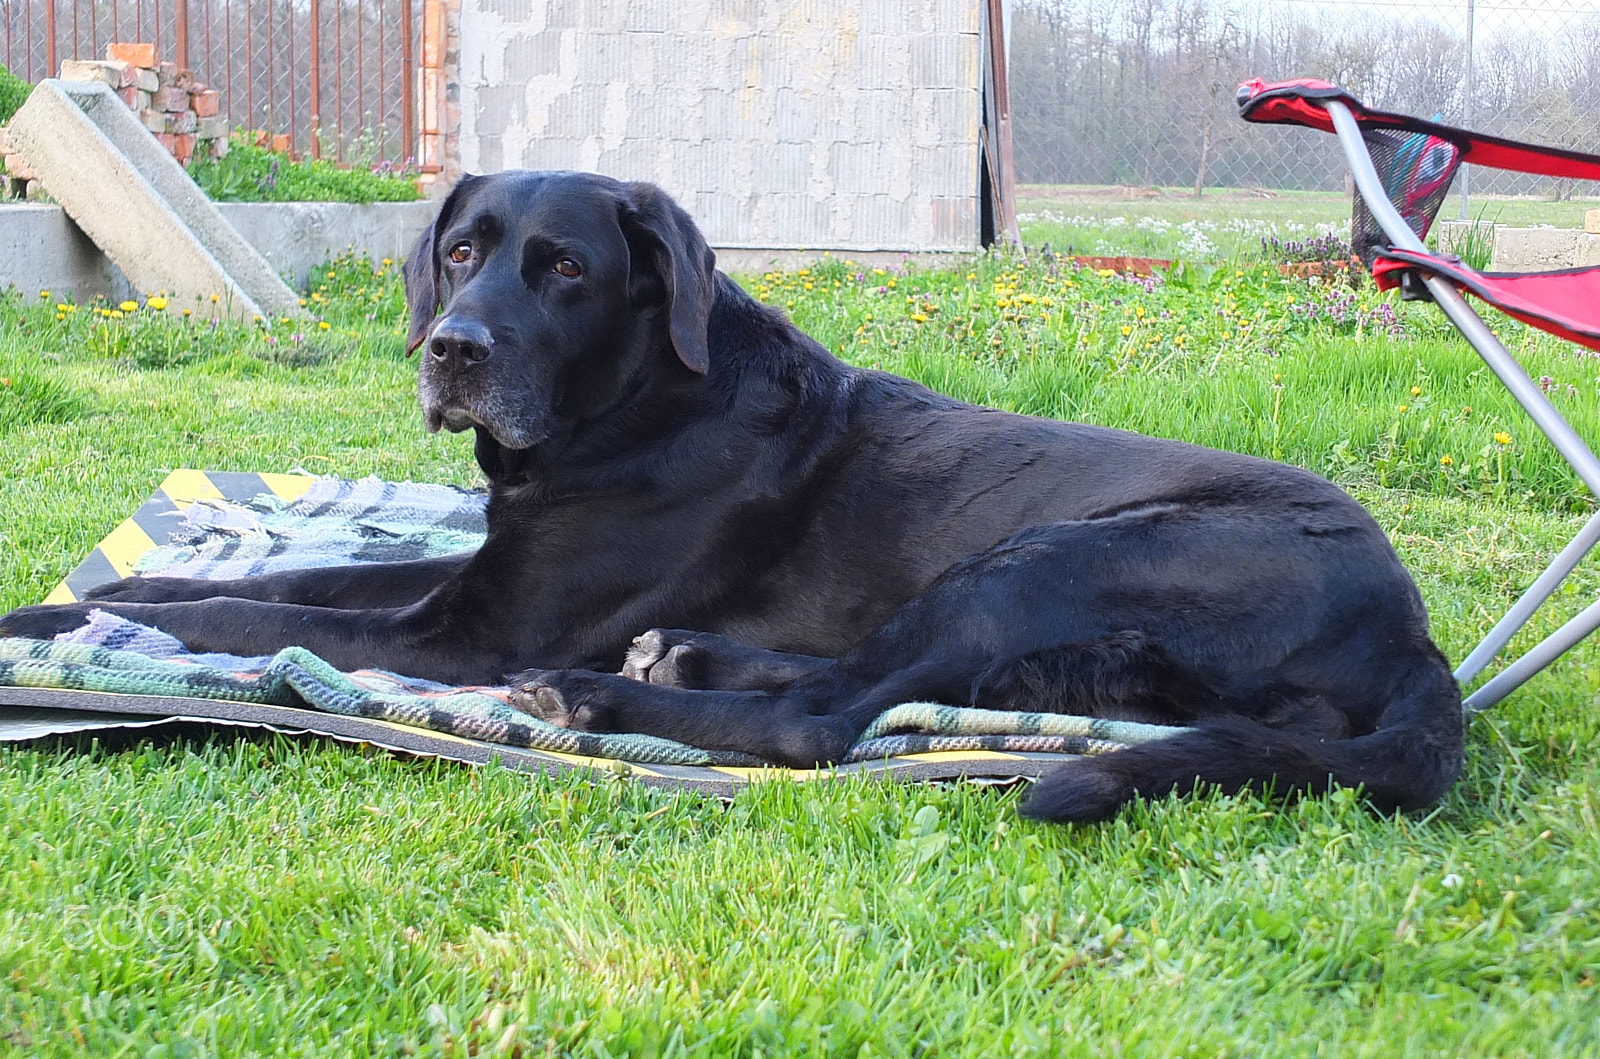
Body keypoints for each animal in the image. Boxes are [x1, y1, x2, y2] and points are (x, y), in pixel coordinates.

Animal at [0, 171, 1465, 819]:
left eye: (565, 268)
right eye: (462, 250)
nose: (454, 349)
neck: (636, 403)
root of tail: (1414, 629)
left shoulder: (482, 631)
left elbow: (259, 616)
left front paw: (73, 624)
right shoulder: (477, 576)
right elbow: (285, 577)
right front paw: (88, 599)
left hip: (1054, 553)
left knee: (827, 722)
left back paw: (601, 698)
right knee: (879, 687)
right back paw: (685, 655)